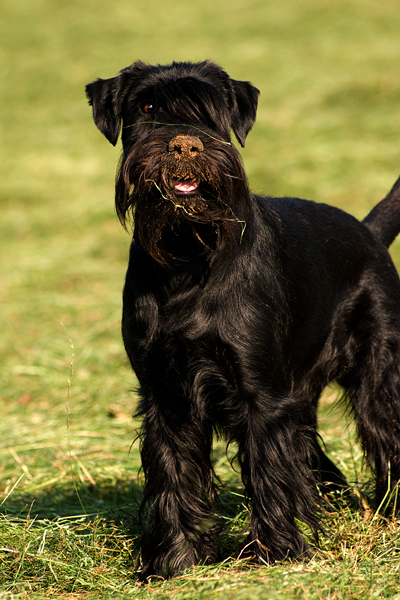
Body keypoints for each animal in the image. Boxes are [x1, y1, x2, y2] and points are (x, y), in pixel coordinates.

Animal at [86, 59, 400, 576]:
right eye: (148, 107)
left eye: (211, 112)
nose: (185, 144)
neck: (187, 255)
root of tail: (367, 231)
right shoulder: (165, 393)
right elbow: (174, 475)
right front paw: (171, 563)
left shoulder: (261, 395)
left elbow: (270, 472)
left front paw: (274, 554)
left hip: (377, 374)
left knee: (383, 434)